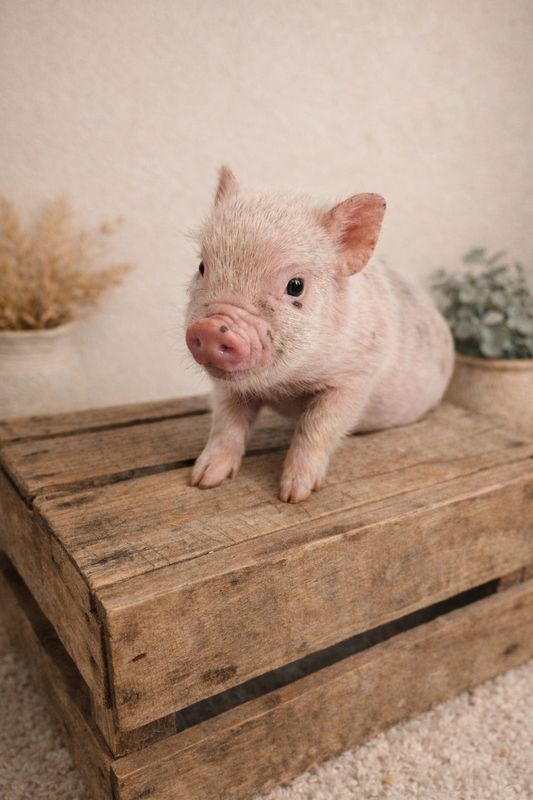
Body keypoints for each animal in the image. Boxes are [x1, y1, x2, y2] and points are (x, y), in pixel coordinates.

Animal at [185, 166, 454, 503]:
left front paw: (294, 495)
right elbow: (225, 421)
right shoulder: (227, 388)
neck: (286, 386)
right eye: (201, 266)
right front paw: (202, 480)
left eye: (296, 285)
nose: (211, 329)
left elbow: (317, 427)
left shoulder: (356, 378)